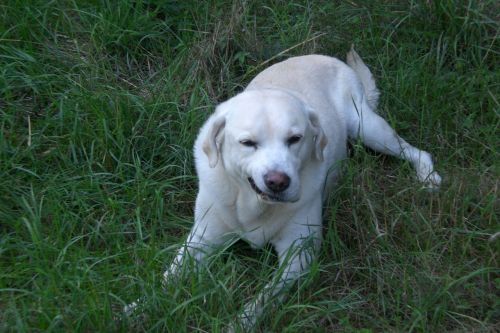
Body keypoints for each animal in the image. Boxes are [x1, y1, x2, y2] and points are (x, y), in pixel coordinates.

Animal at [126, 47, 442, 330]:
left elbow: (263, 299)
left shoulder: (299, 256)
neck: (254, 205)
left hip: (367, 128)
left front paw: (237, 324)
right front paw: (138, 308)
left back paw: (428, 176)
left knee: (416, 151)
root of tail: (323, 56)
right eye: (247, 143)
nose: (278, 181)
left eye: (295, 139)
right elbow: (170, 276)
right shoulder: (202, 239)